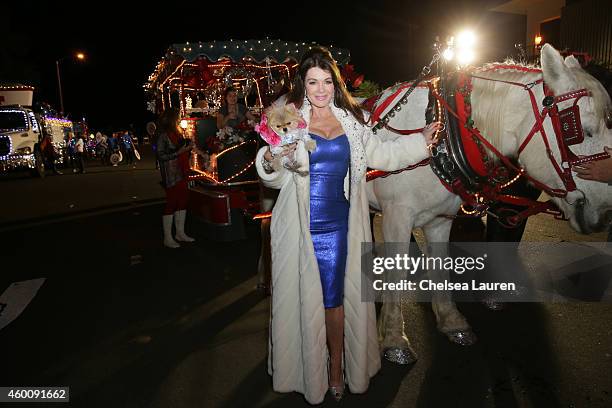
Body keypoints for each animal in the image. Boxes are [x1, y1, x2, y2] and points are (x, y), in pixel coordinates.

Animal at [368, 43, 612, 364]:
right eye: (581, 129)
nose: (606, 213)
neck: (443, 134)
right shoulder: (397, 215)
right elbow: (395, 271)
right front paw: (394, 339)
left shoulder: (440, 219)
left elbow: (441, 264)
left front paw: (451, 322)